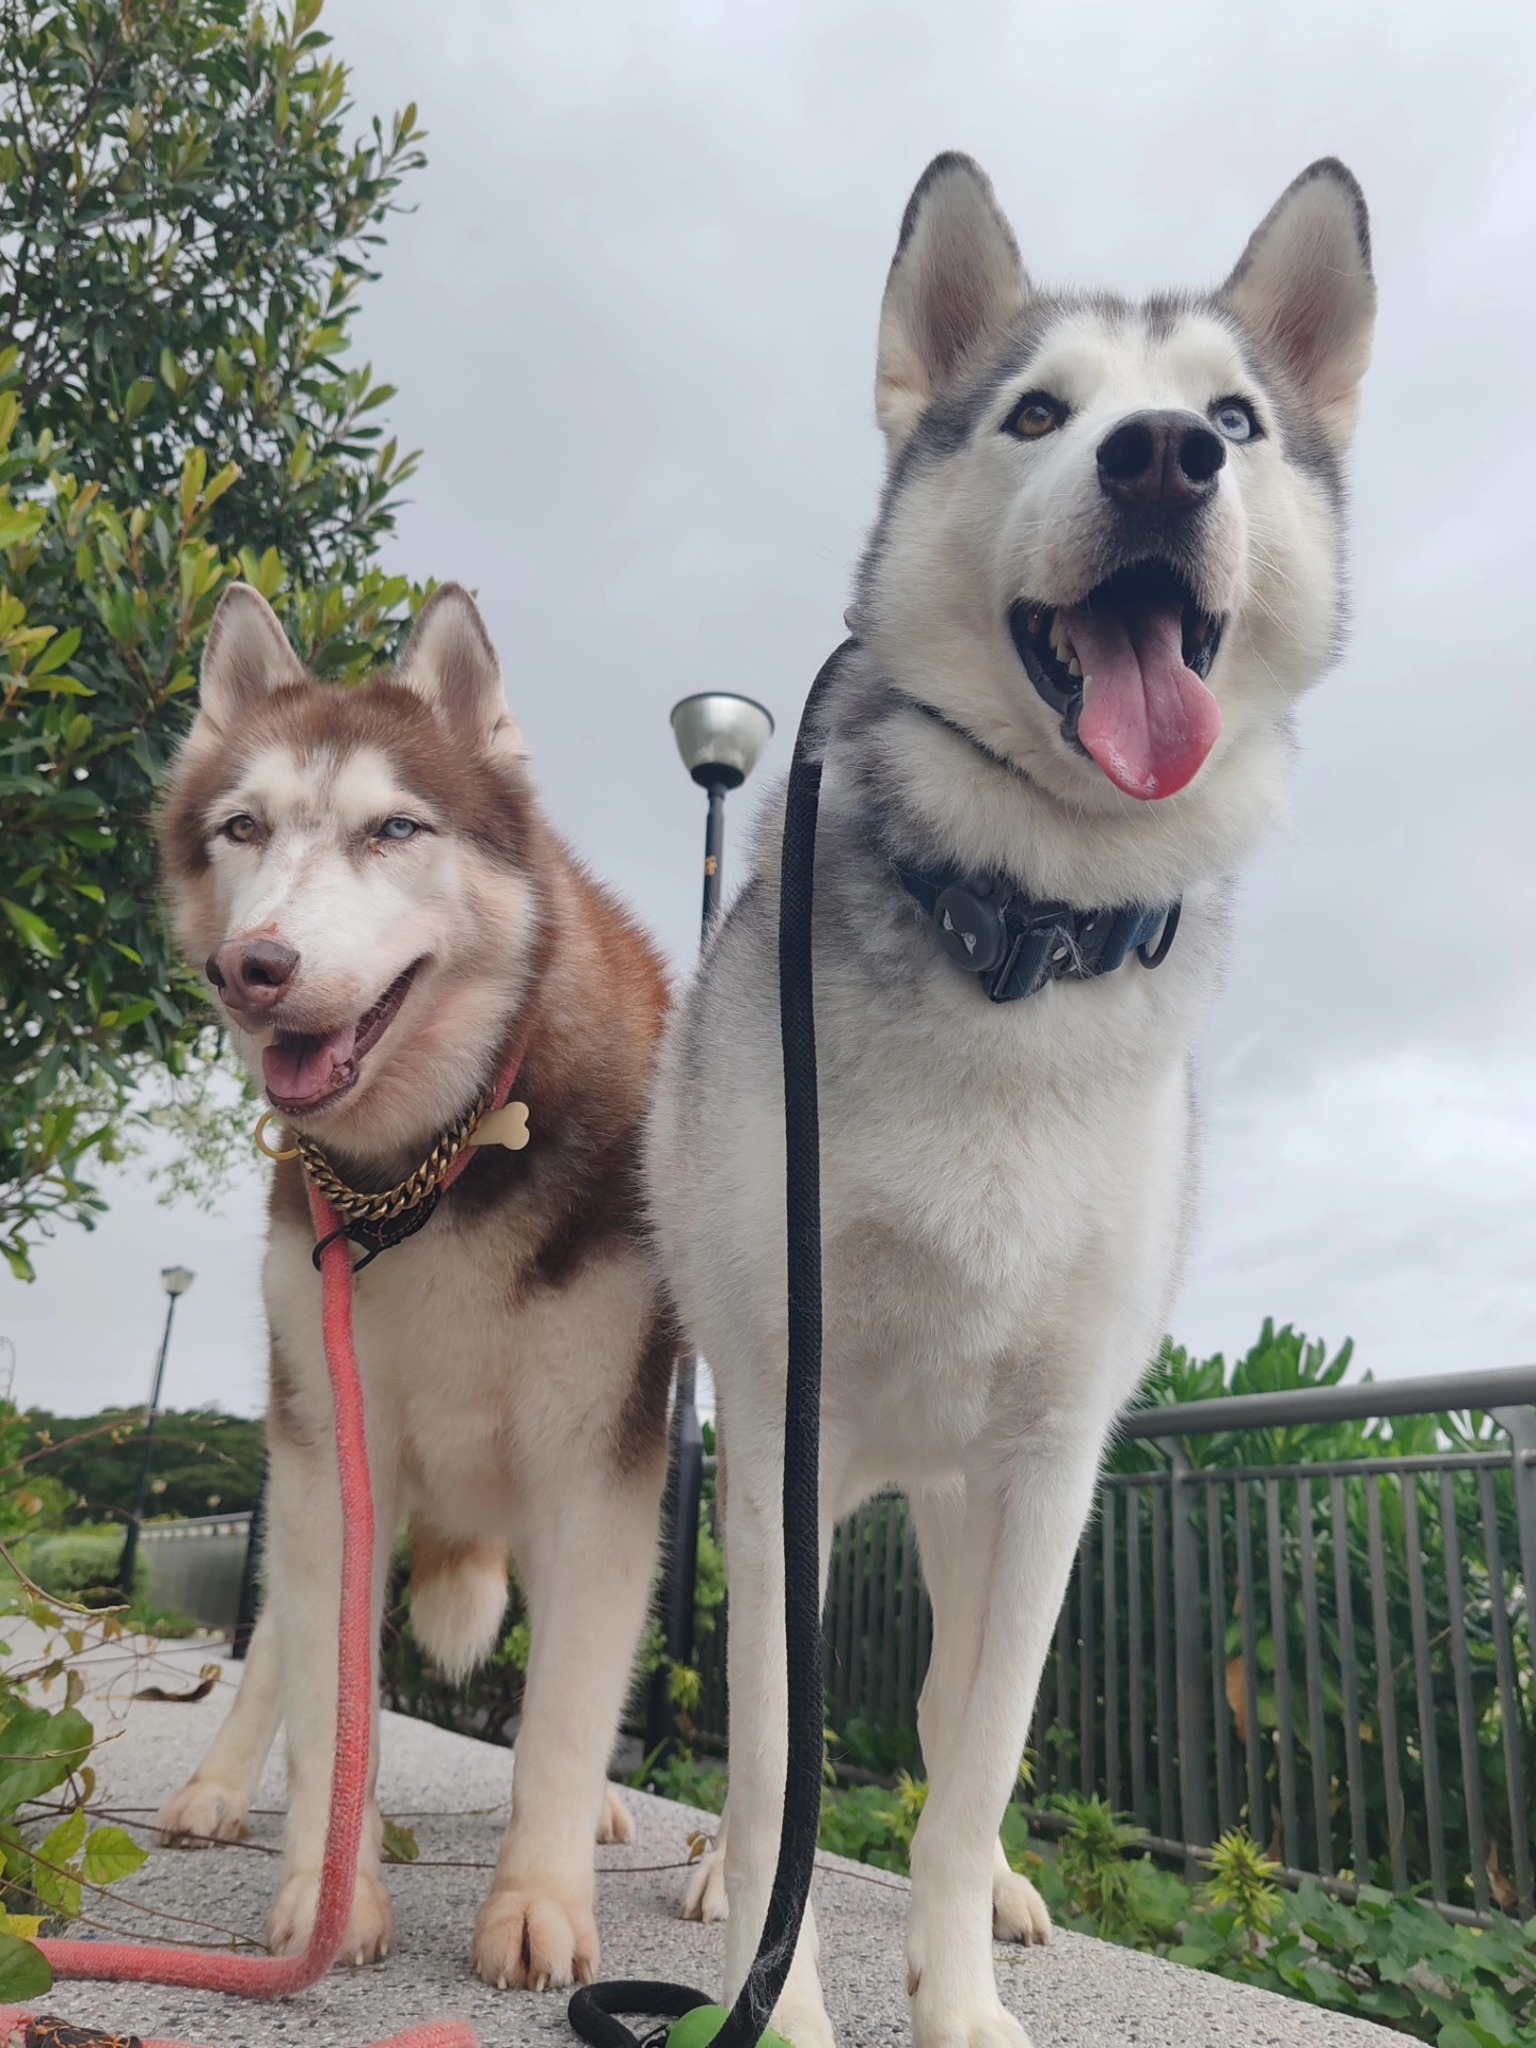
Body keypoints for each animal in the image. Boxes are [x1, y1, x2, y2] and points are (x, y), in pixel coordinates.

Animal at [153, 583, 674, 1990]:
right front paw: (328, 1892)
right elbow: (330, 1697)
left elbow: (566, 1708)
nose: (257, 965)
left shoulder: (599, 1465)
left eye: (395, 828)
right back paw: (218, 1787)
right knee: (280, 1647)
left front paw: (542, 1894)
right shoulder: (333, 1449)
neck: (439, 1167)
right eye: (242, 827)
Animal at [646, 155, 1375, 2048]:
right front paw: (776, 2002)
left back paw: (999, 1897)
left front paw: (958, 1987)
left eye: (1234, 419)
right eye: (1038, 413)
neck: (1025, 934)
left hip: (965, 1504)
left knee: (936, 1723)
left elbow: (970, 1767)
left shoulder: (1053, 1465)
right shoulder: (784, 1419)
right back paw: (711, 1887)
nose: (1162, 457)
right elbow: (770, 1759)